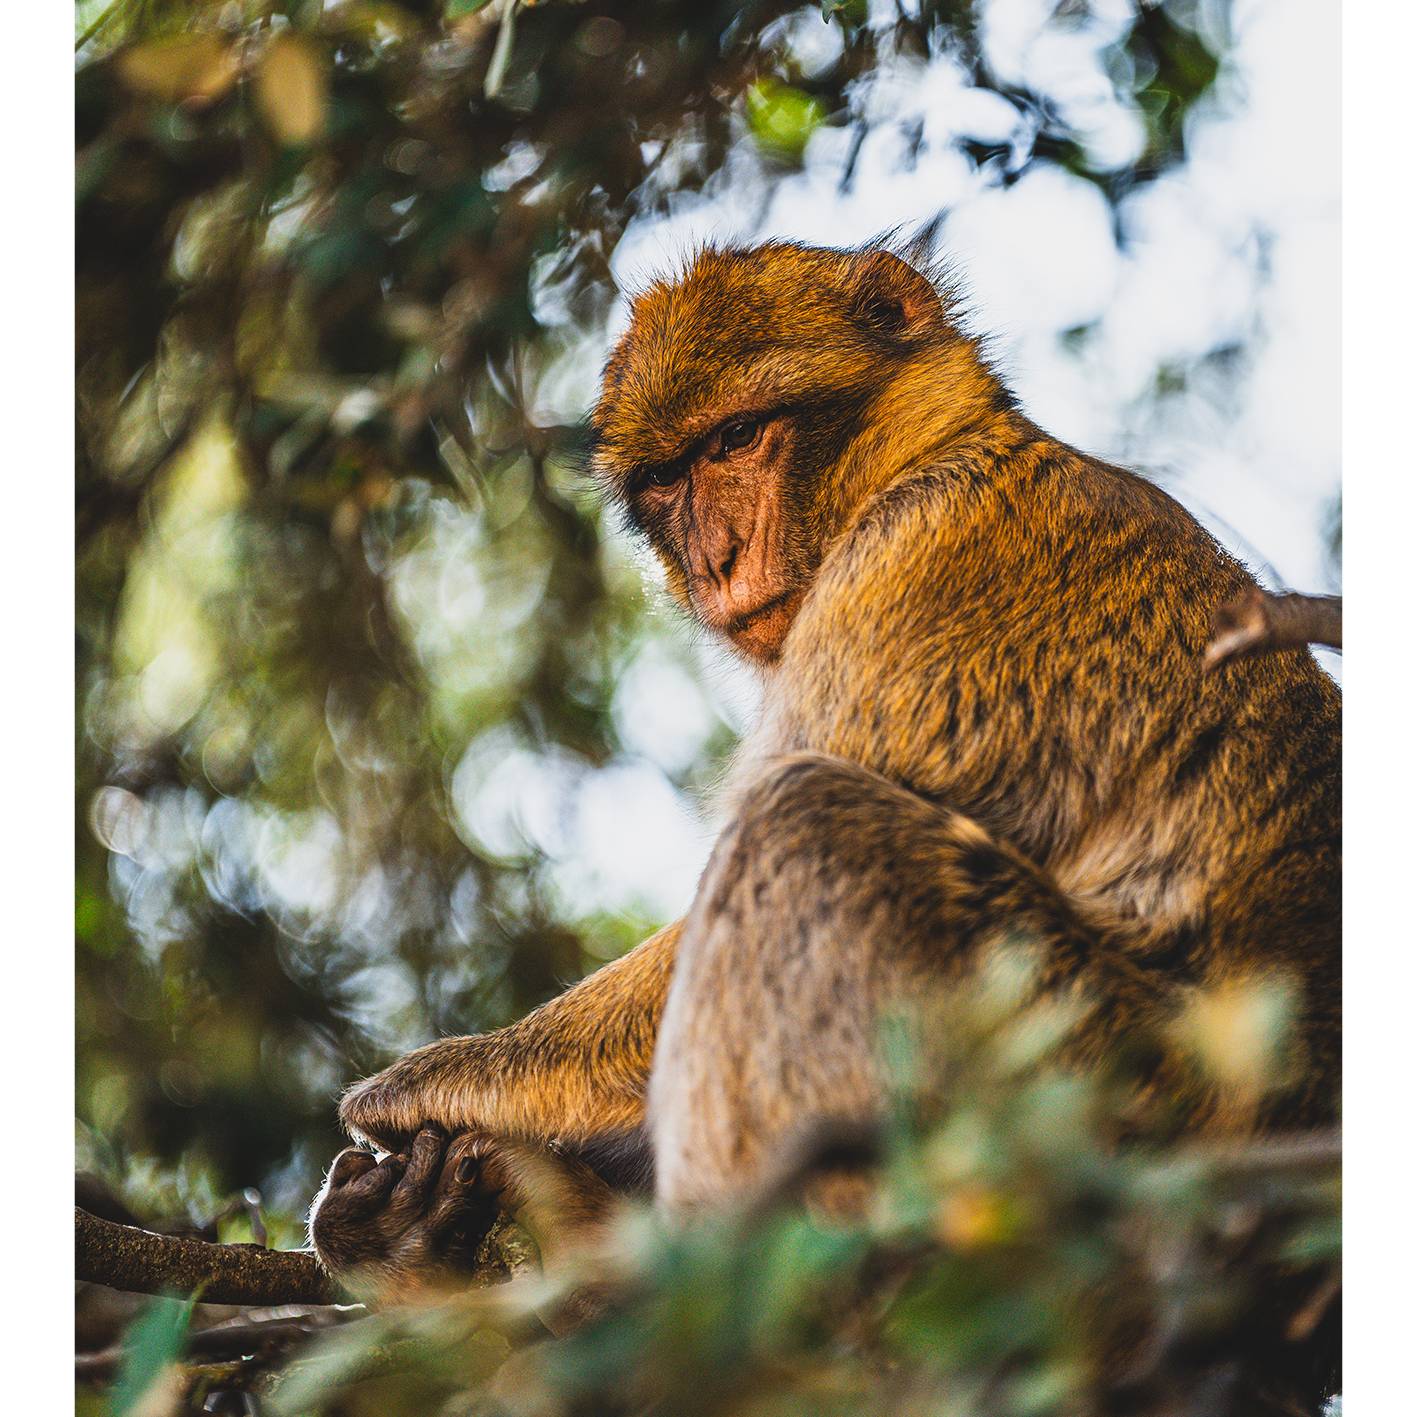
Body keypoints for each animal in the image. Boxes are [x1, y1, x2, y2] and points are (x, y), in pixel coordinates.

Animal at [310, 240, 1337, 1382]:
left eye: (737, 439)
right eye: (667, 481)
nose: (714, 560)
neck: (930, 451)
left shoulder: (920, 556)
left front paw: (439, 1076)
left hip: (1085, 1094)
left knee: (807, 820)